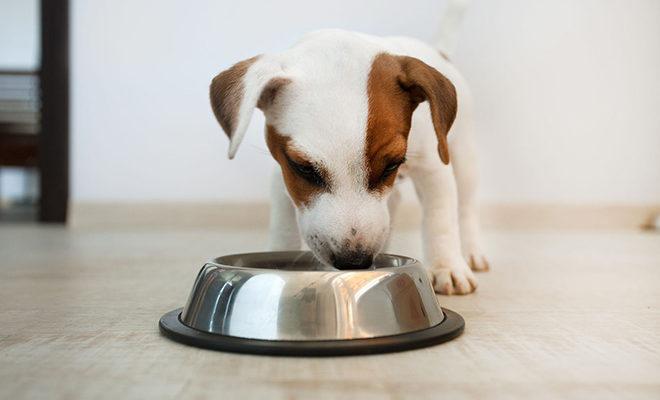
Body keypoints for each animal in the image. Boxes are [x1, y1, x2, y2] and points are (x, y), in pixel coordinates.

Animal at [209, 23, 488, 296]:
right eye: (304, 169)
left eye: (391, 165)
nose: (354, 261)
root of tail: (439, 51)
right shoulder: (283, 175)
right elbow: (284, 227)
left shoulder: (433, 167)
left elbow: (440, 219)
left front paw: (447, 266)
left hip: (464, 158)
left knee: (465, 207)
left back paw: (471, 252)